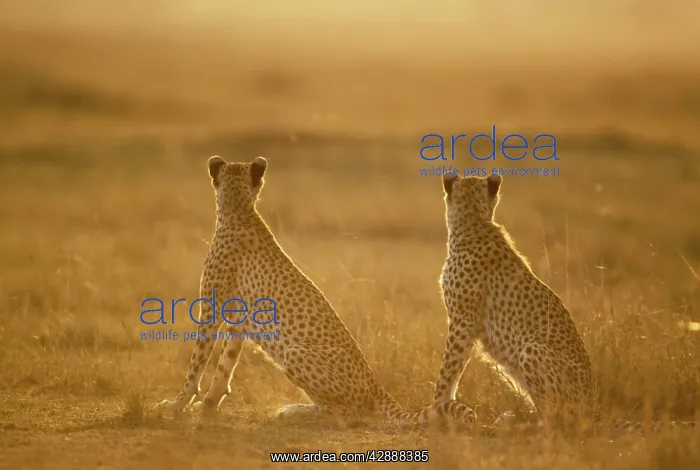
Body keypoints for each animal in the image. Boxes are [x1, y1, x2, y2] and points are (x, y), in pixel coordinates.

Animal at [154, 155, 476, 428]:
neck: (239, 209)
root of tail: (376, 385)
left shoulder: (212, 309)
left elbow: (196, 364)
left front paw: (177, 404)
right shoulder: (237, 321)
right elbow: (225, 366)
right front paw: (208, 405)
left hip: (294, 353)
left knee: (349, 413)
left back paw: (297, 411)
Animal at [432, 172, 695, 435]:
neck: (473, 221)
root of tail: (593, 409)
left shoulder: (463, 322)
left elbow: (448, 369)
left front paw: (435, 409)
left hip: (532, 349)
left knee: (559, 419)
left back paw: (525, 423)